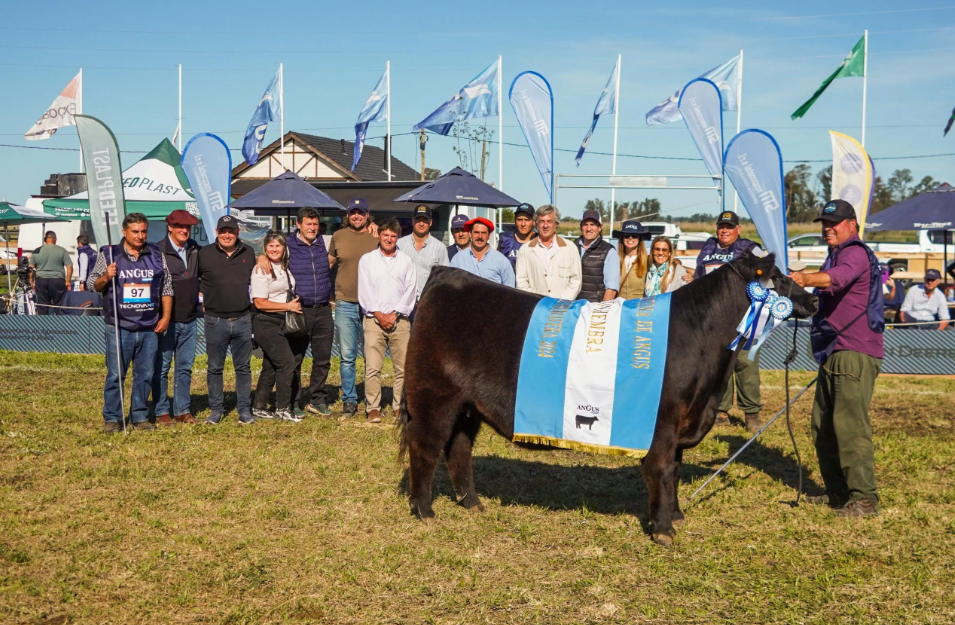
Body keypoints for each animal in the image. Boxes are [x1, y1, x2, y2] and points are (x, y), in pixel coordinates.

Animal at [400, 251, 816, 544]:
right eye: (779, 279)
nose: (812, 302)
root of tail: (448, 275)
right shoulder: (662, 423)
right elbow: (661, 470)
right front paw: (663, 528)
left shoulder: (682, 421)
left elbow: (676, 471)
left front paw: (676, 515)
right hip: (433, 396)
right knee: (426, 446)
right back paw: (423, 510)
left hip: (468, 406)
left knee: (459, 448)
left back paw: (472, 503)